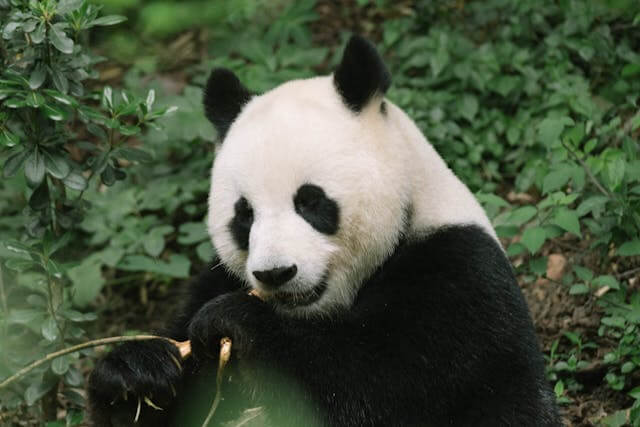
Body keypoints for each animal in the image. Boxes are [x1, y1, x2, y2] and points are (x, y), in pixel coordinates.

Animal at [88, 35, 560, 426]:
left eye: (311, 201)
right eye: (245, 215)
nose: (276, 273)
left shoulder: (456, 277)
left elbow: (378, 384)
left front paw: (237, 321)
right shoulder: (216, 277)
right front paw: (134, 375)